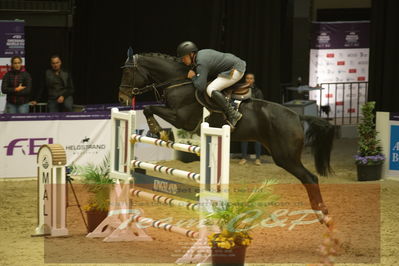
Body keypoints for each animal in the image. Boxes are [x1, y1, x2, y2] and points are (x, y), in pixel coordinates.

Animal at [119, 49, 334, 224]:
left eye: (127, 72)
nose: (122, 98)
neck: (178, 82)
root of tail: (297, 116)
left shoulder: (181, 118)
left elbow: (149, 108)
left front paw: (159, 131)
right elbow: (149, 108)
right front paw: (160, 131)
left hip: (285, 157)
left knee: (310, 178)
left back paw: (321, 213)